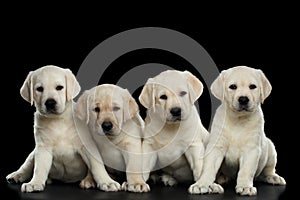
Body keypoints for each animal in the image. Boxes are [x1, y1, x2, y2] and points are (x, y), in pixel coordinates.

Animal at [190, 65, 286, 195]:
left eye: (252, 86)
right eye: (233, 87)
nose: (243, 99)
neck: (237, 120)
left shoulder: (251, 150)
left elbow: (245, 170)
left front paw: (245, 186)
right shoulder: (216, 147)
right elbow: (209, 167)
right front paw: (201, 184)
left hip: (270, 149)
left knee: (266, 170)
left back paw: (273, 177)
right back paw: (222, 178)